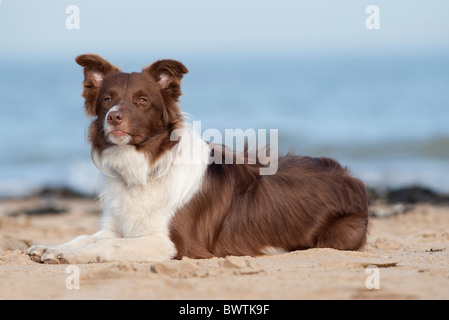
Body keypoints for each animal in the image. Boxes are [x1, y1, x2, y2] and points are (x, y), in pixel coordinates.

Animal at [27, 53, 368, 264]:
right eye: (107, 99)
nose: (114, 117)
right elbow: (85, 236)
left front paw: (68, 257)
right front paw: (50, 247)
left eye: (142, 100)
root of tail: (349, 176)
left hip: (340, 233)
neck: (146, 167)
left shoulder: (173, 244)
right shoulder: (119, 225)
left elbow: (105, 244)